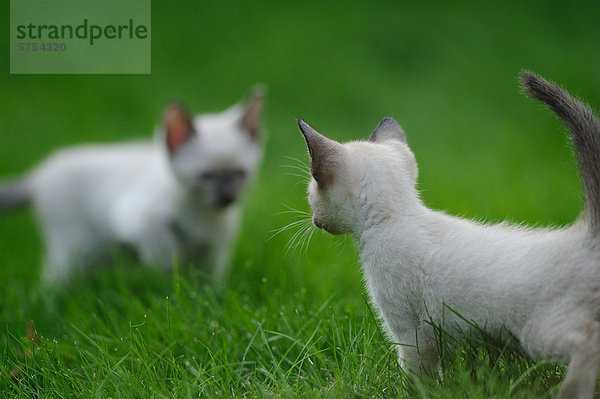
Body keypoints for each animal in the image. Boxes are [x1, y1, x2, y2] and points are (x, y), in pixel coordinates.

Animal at [0, 89, 264, 286]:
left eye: (240, 174)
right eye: (206, 177)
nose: (227, 196)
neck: (203, 214)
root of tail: (39, 173)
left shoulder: (216, 250)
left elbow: (209, 285)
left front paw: (204, 299)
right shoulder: (136, 212)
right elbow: (164, 246)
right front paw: (170, 267)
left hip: (95, 256)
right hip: (73, 250)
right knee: (51, 285)